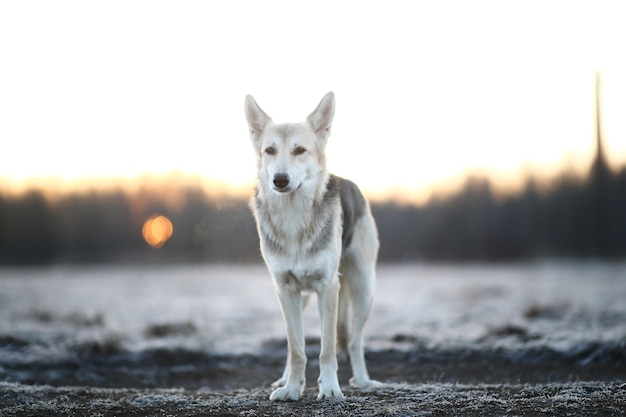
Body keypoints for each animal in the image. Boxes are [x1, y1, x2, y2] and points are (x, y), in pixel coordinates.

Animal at [244, 92, 380, 400]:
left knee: (354, 342)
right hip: (302, 298)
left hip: (363, 290)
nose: (279, 180)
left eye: (300, 150)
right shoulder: (285, 289)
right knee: (292, 346)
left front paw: (329, 388)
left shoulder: (328, 287)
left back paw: (363, 380)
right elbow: (296, 349)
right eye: (270, 150)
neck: (294, 218)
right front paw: (292, 388)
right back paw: (283, 380)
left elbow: (327, 349)